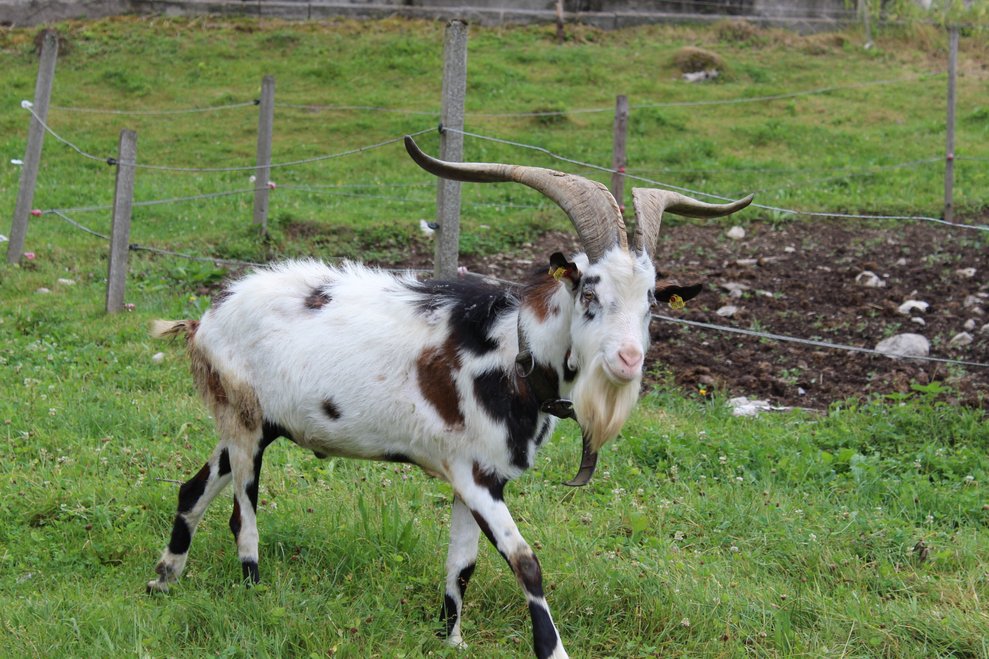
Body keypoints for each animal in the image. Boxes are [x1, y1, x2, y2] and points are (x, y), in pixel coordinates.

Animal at [145, 136, 752, 658]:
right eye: (589, 291)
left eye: (651, 300)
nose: (628, 361)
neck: (512, 352)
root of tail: (208, 317)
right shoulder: (476, 478)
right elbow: (525, 561)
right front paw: (552, 650)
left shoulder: (477, 474)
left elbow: (463, 563)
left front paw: (452, 639)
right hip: (246, 423)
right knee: (242, 514)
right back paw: (252, 591)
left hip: (252, 424)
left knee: (194, 487)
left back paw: (163, 579)